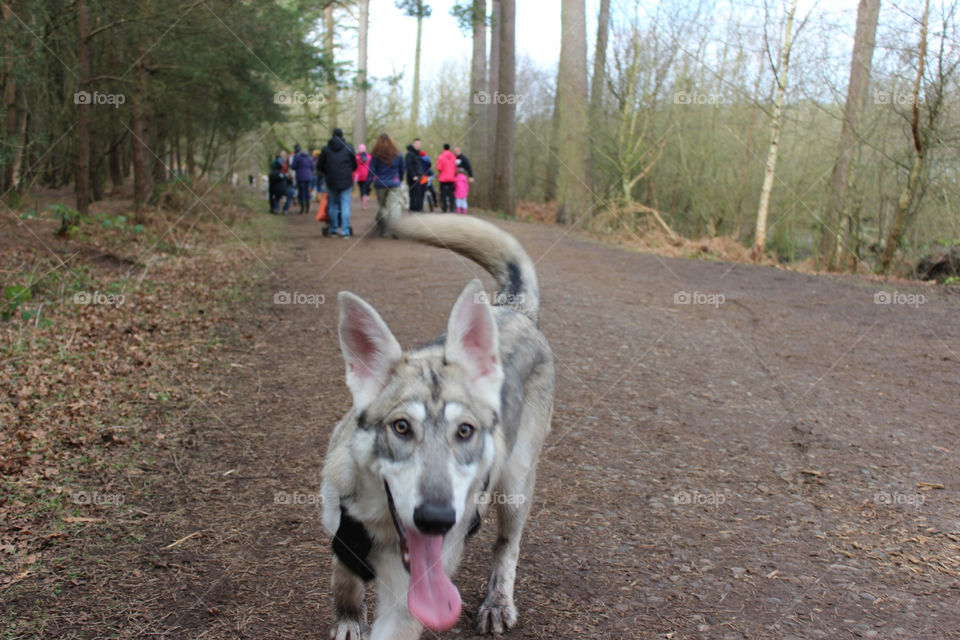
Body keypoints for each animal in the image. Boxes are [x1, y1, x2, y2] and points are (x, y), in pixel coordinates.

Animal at [320, 215, 556, 640]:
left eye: (465, 431)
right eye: (401, 427)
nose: (436, 519)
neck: (380, 527)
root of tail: (513, 310)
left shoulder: (407, 603)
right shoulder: (339, 529)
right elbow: (344, 579)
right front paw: (347, 618)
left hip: (514, 487)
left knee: (507, 547)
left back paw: (498, 602)